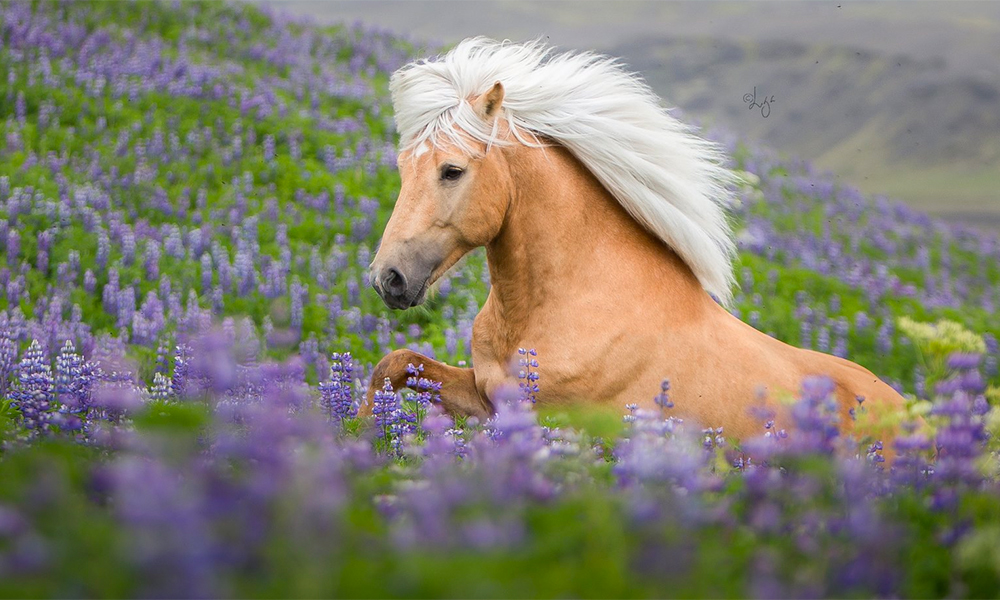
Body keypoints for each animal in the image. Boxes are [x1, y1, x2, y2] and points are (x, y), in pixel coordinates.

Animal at [362, 35, 908, 442]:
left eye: (452, 170)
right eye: (403, 167)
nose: (388, 278)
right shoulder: (484, 397)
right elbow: (395, 364)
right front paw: (362, 433)